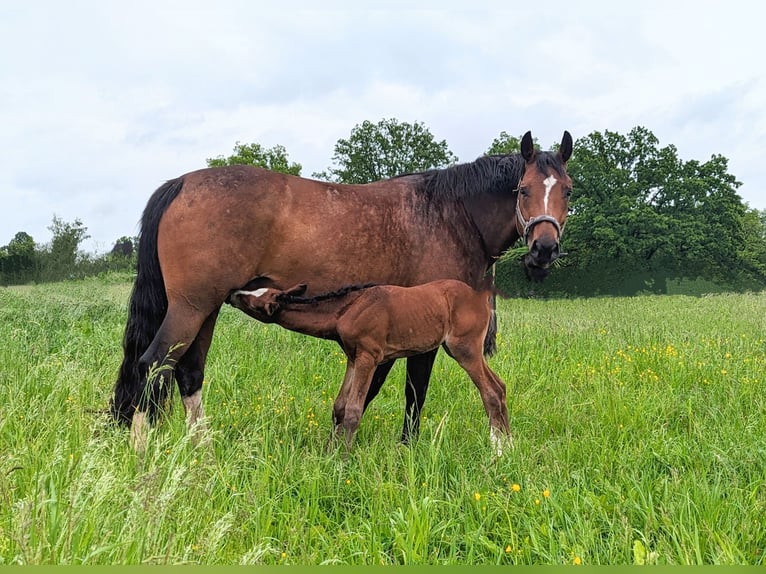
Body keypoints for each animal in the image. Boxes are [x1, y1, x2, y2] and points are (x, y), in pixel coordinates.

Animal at [227, 279, 510, 454]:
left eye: (254, 299)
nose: (232, 293)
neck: (347, 309)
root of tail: (482, 298)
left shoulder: (369, 357)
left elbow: (353, 410)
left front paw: (342, 461)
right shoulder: (353, 358)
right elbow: (339, 407)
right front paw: (329, 453)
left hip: (465, 349)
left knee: (490, 391)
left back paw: (497, 450)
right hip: (460, 350)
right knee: (500, 386)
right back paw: (509, 445)